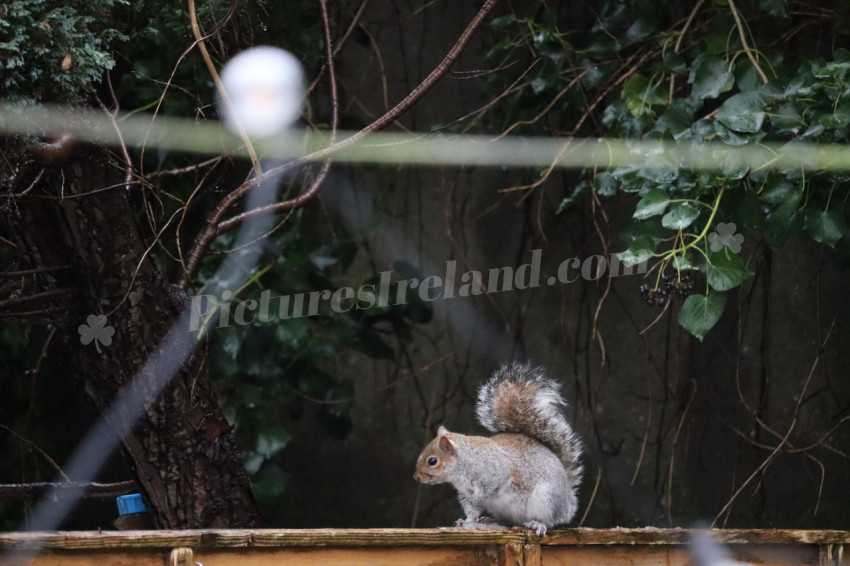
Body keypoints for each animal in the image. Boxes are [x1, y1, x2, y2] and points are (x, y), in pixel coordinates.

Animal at [413, 362, 582, 536]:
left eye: (432, 461)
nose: (416, 478)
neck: (465, 462)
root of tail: (568, 500)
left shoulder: (494, 474)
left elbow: (481, 497)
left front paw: (472, 510)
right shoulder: (465, 491)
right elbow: (470, 510)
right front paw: (465, 520)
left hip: (547, 497)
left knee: (549, 519)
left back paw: (538, 524)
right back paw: (493, 520)